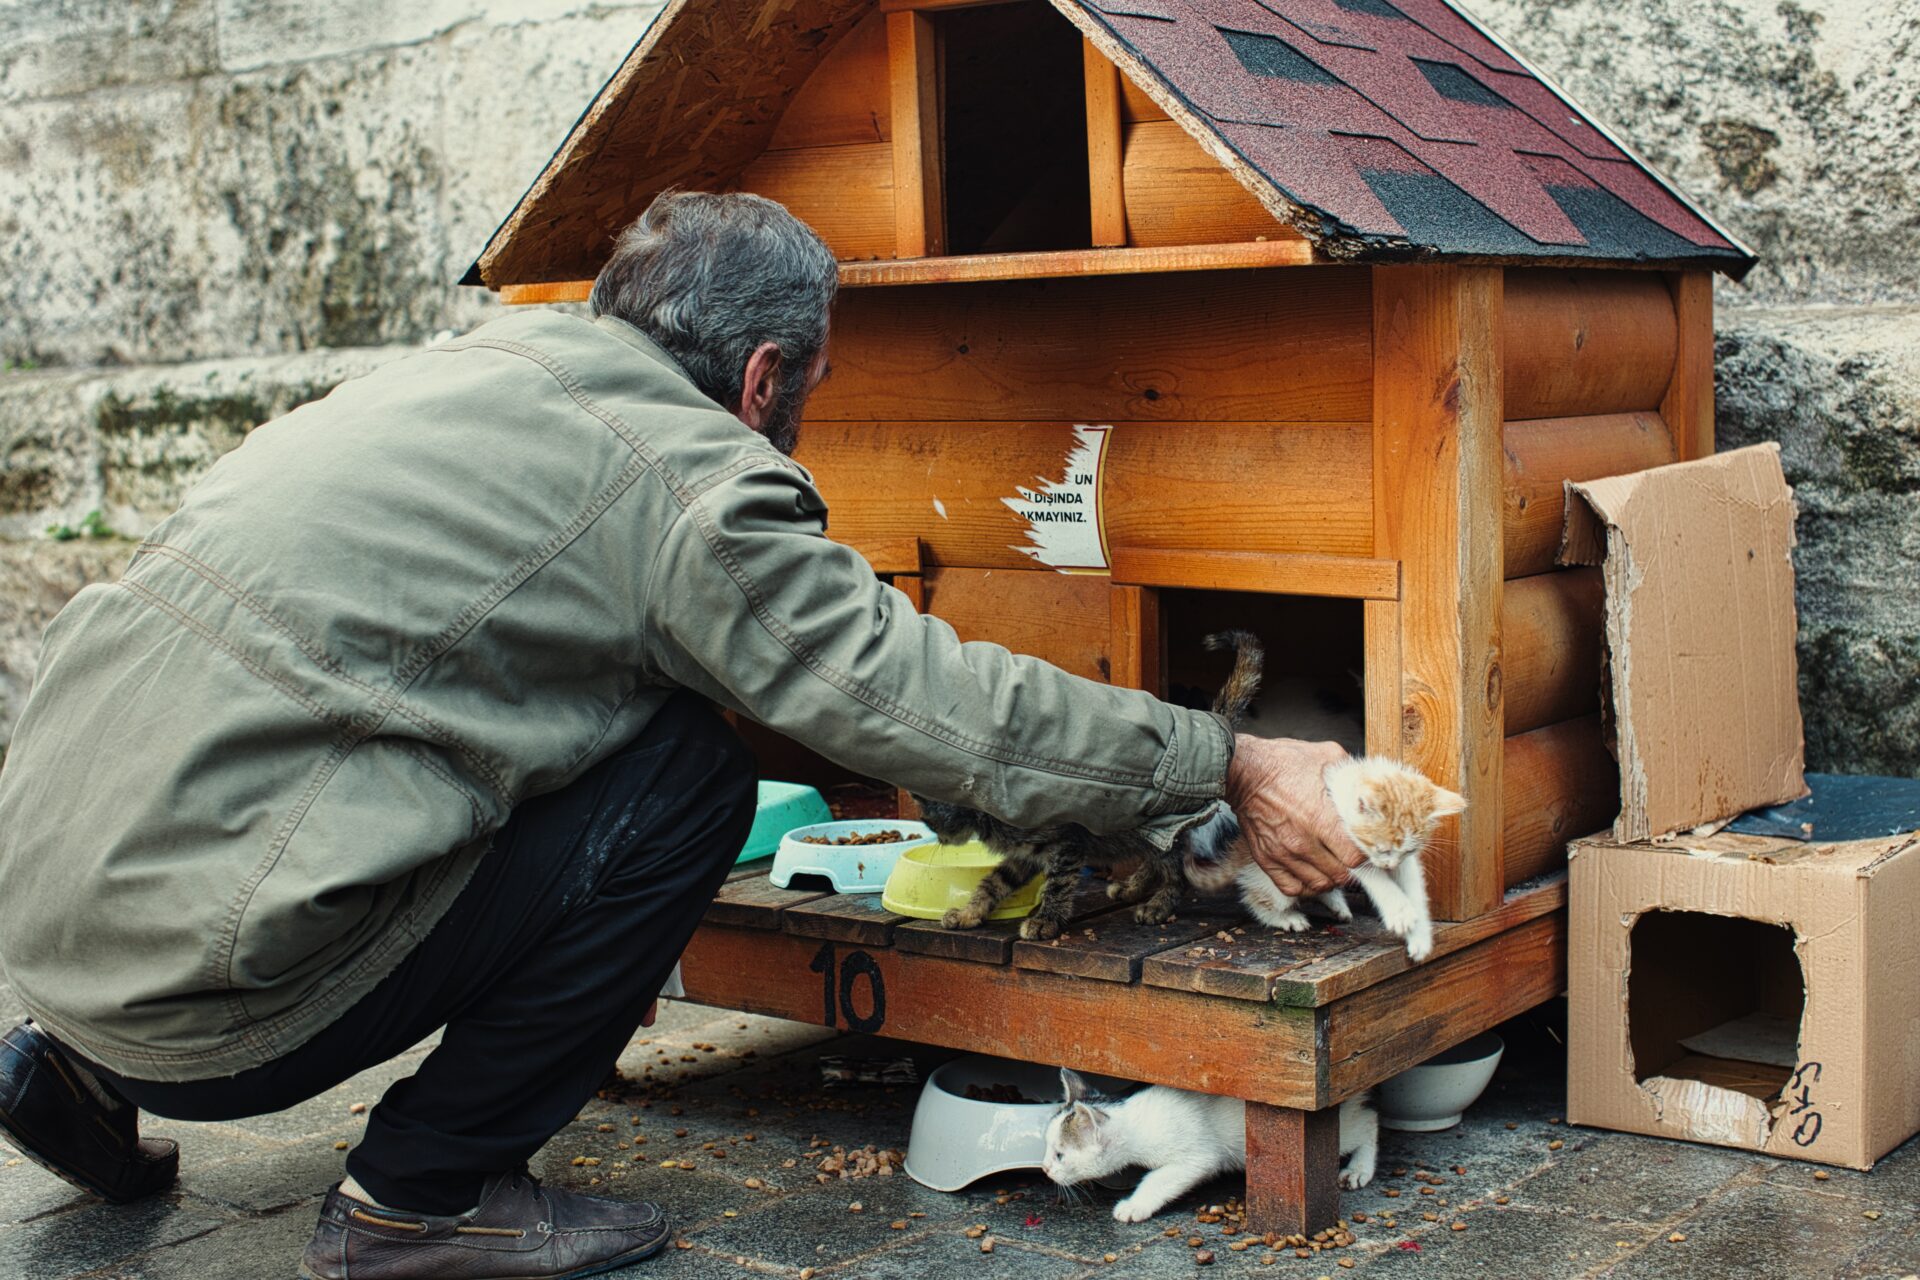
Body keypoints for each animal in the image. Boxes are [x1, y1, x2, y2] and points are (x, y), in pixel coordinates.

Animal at [915, 631, 1263, 941]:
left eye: (927, 819)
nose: (937, 836)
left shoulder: (1065, 842)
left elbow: (1058, 883)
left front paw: (1045, 921)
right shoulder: (1024, 854)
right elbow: (995, 882)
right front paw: (968, 913)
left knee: (1176, 867)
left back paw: (1158, 904)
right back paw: (1132, 887)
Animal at [1042, 1068, 1378, 1222]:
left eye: (1060, 1155)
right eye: (1047, 1149)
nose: (1045, 1169)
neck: (1136, 1120)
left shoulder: (1197, 1156)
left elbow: (1158, 1179)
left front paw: (1134, 1206)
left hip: (1342, 1128)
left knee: (1368, 1121)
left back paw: (1358, 1170)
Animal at [1186, 756, 1466, 962]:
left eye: (1406, 851)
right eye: (1382, 849)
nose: (1389, 864)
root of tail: (1242, 851)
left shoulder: (1404, 862)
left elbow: (1413, 887)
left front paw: (1420, 937)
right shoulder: (1338, 842)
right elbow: (1372, 875)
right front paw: (1399, 911)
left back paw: (1337, 904)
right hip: (1271, 877)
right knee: (1256, 898)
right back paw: (1285, 918)